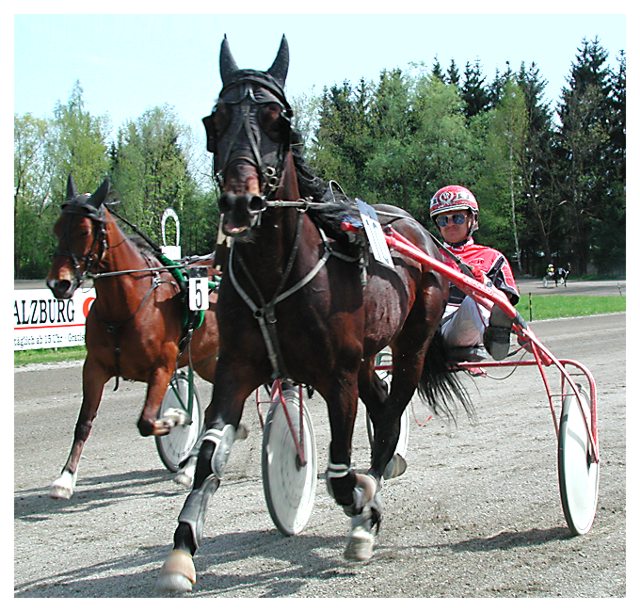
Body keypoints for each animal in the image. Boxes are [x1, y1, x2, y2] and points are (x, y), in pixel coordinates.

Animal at [45, 175, 220, 500]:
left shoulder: (163, 367)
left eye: (84, 230)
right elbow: (83, 423)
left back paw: (189, 467)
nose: (58, 284)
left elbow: (147, 422)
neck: (128, 304)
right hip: (207, 359)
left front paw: (177, 418)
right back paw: (191, 465)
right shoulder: (94, 367)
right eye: (57, 228)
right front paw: (65, 479)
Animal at [158, 35, 468, 592]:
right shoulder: (237, 369)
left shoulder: (336, 378)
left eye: (278, 118)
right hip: (367, 357)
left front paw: (364, 511)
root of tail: (420, 232)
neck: (275, 277)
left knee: (391, 416)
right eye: (216, 120)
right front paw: (182, 549)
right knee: (382, 405)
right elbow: (210, 455)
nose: (240, 202)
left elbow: (339, 475)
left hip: (411, 345)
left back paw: (370, 502)